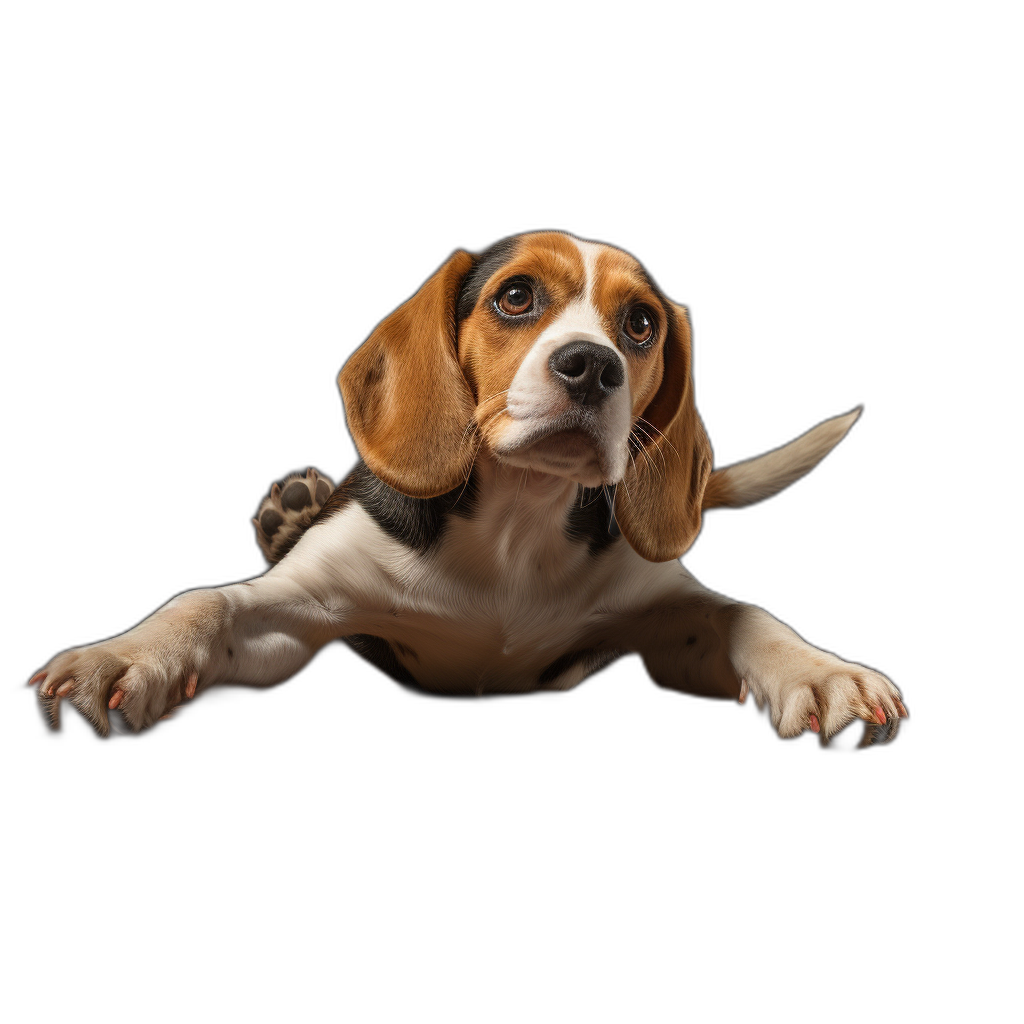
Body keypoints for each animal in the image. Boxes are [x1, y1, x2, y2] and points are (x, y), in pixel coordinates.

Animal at [29, 232, 905, 745]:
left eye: (642, 324)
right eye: (515, 296)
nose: (593, 366)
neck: (517, 522)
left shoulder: (665, 623)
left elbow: (741, 614)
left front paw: (822, 671)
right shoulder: (300, 613)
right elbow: (204, 602)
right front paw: (125, 656)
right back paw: (291, 509)